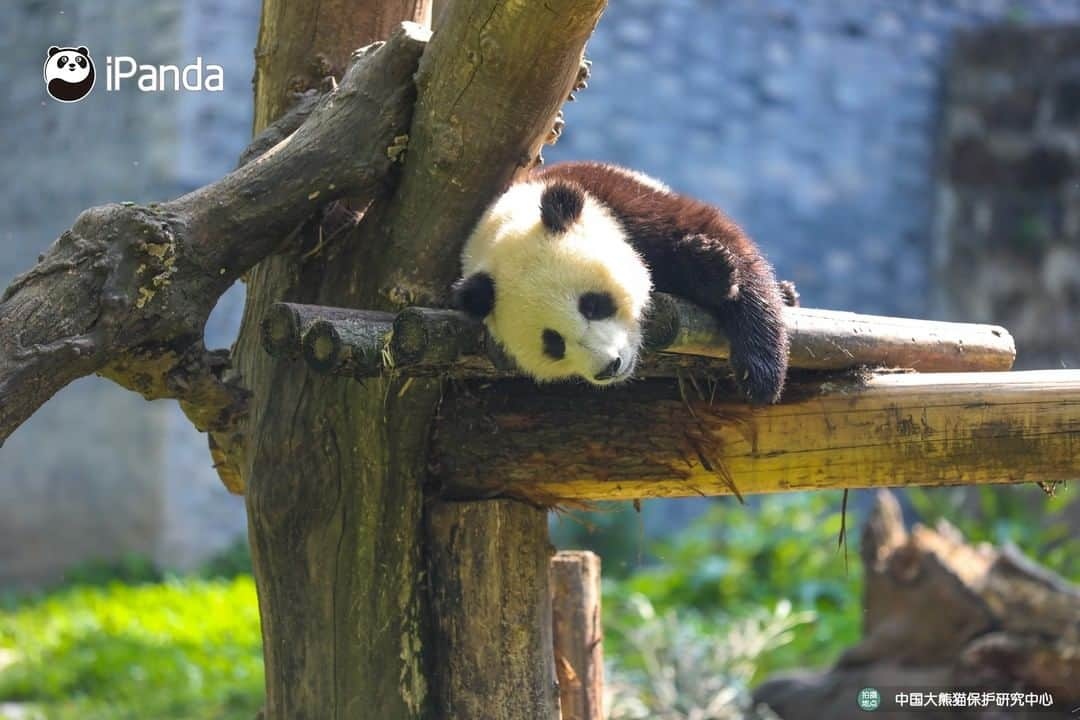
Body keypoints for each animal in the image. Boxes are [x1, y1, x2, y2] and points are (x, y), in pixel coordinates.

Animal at [451, 159, 790, 403]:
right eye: (553, 343)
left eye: (592, 304)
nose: (608, 367)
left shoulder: (622, 201)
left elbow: (729, 247)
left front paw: (760, 375)